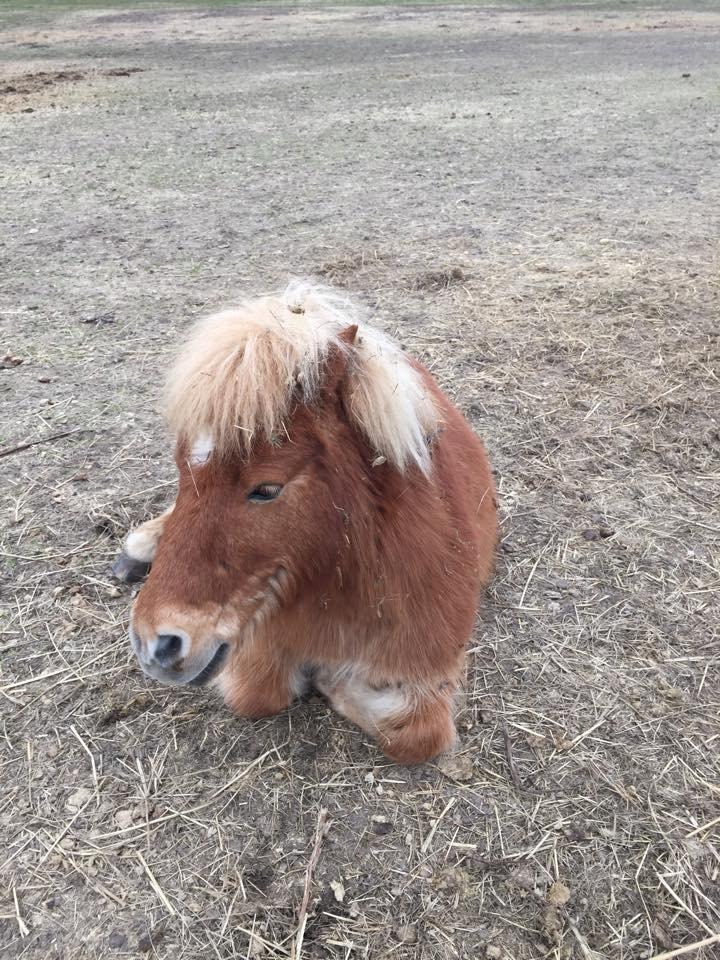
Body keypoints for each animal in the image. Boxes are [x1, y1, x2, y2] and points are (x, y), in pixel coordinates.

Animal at [115, 280, 498, 764]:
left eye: (266, 488)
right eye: (182, 472)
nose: (155, 645)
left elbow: (415, 733)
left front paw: (331, 680)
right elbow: (256, 692)